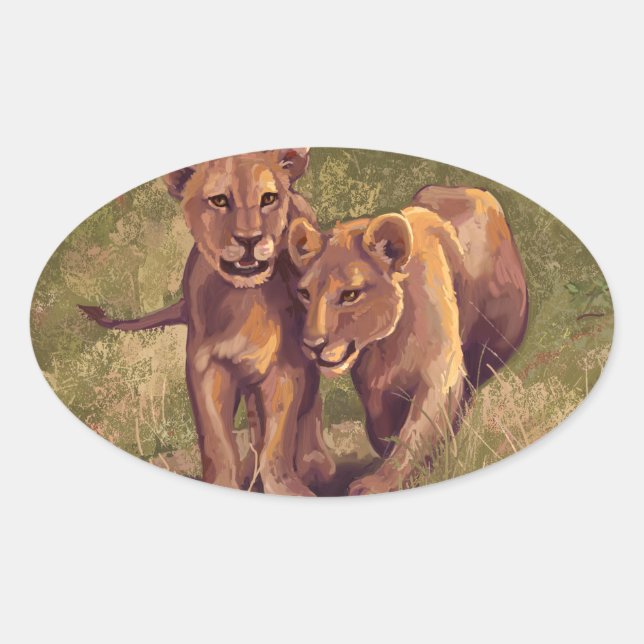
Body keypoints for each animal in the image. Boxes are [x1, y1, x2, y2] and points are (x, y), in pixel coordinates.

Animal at [80, 149, 335, 495]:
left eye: (268, 198)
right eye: (219, 201)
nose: (249, 240)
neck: (246, 299)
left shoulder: (287, 367)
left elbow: (278, 439)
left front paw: (286, 488)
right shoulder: (206, 367)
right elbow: (217, 441)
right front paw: (225, 483)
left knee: (309, 406)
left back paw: (314, 463)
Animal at [288, 189, 527, 495]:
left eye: (350, 295)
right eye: (305, 293)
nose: (313, 344)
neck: (388, 343)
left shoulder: (441, 374)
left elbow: (415, 433)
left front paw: (378, 484)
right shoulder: (374, 387)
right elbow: (385, 427)